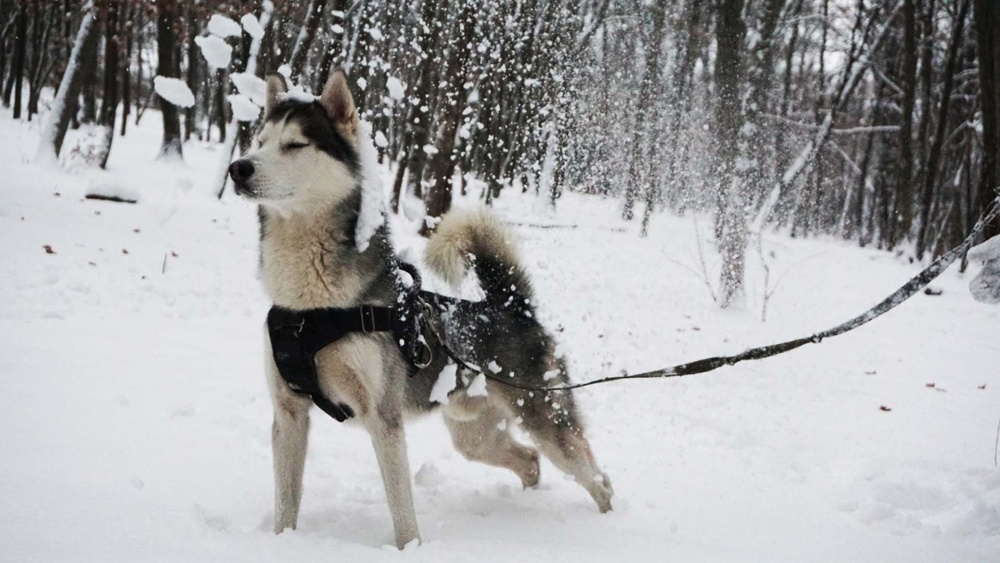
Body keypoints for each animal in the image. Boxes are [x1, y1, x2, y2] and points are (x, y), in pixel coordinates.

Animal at [230, 68, 612, 548]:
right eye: (258, 141)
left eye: (295, 144)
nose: (238, 167)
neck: (313, 310)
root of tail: (513, 307)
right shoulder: (289, 413)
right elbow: (286, 502)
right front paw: (282, 542)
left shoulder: (383, 417)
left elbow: (401, 507)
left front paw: (409, 549)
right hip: (473, 433)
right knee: (529, 460)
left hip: (546, 422)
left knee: (597, 478)